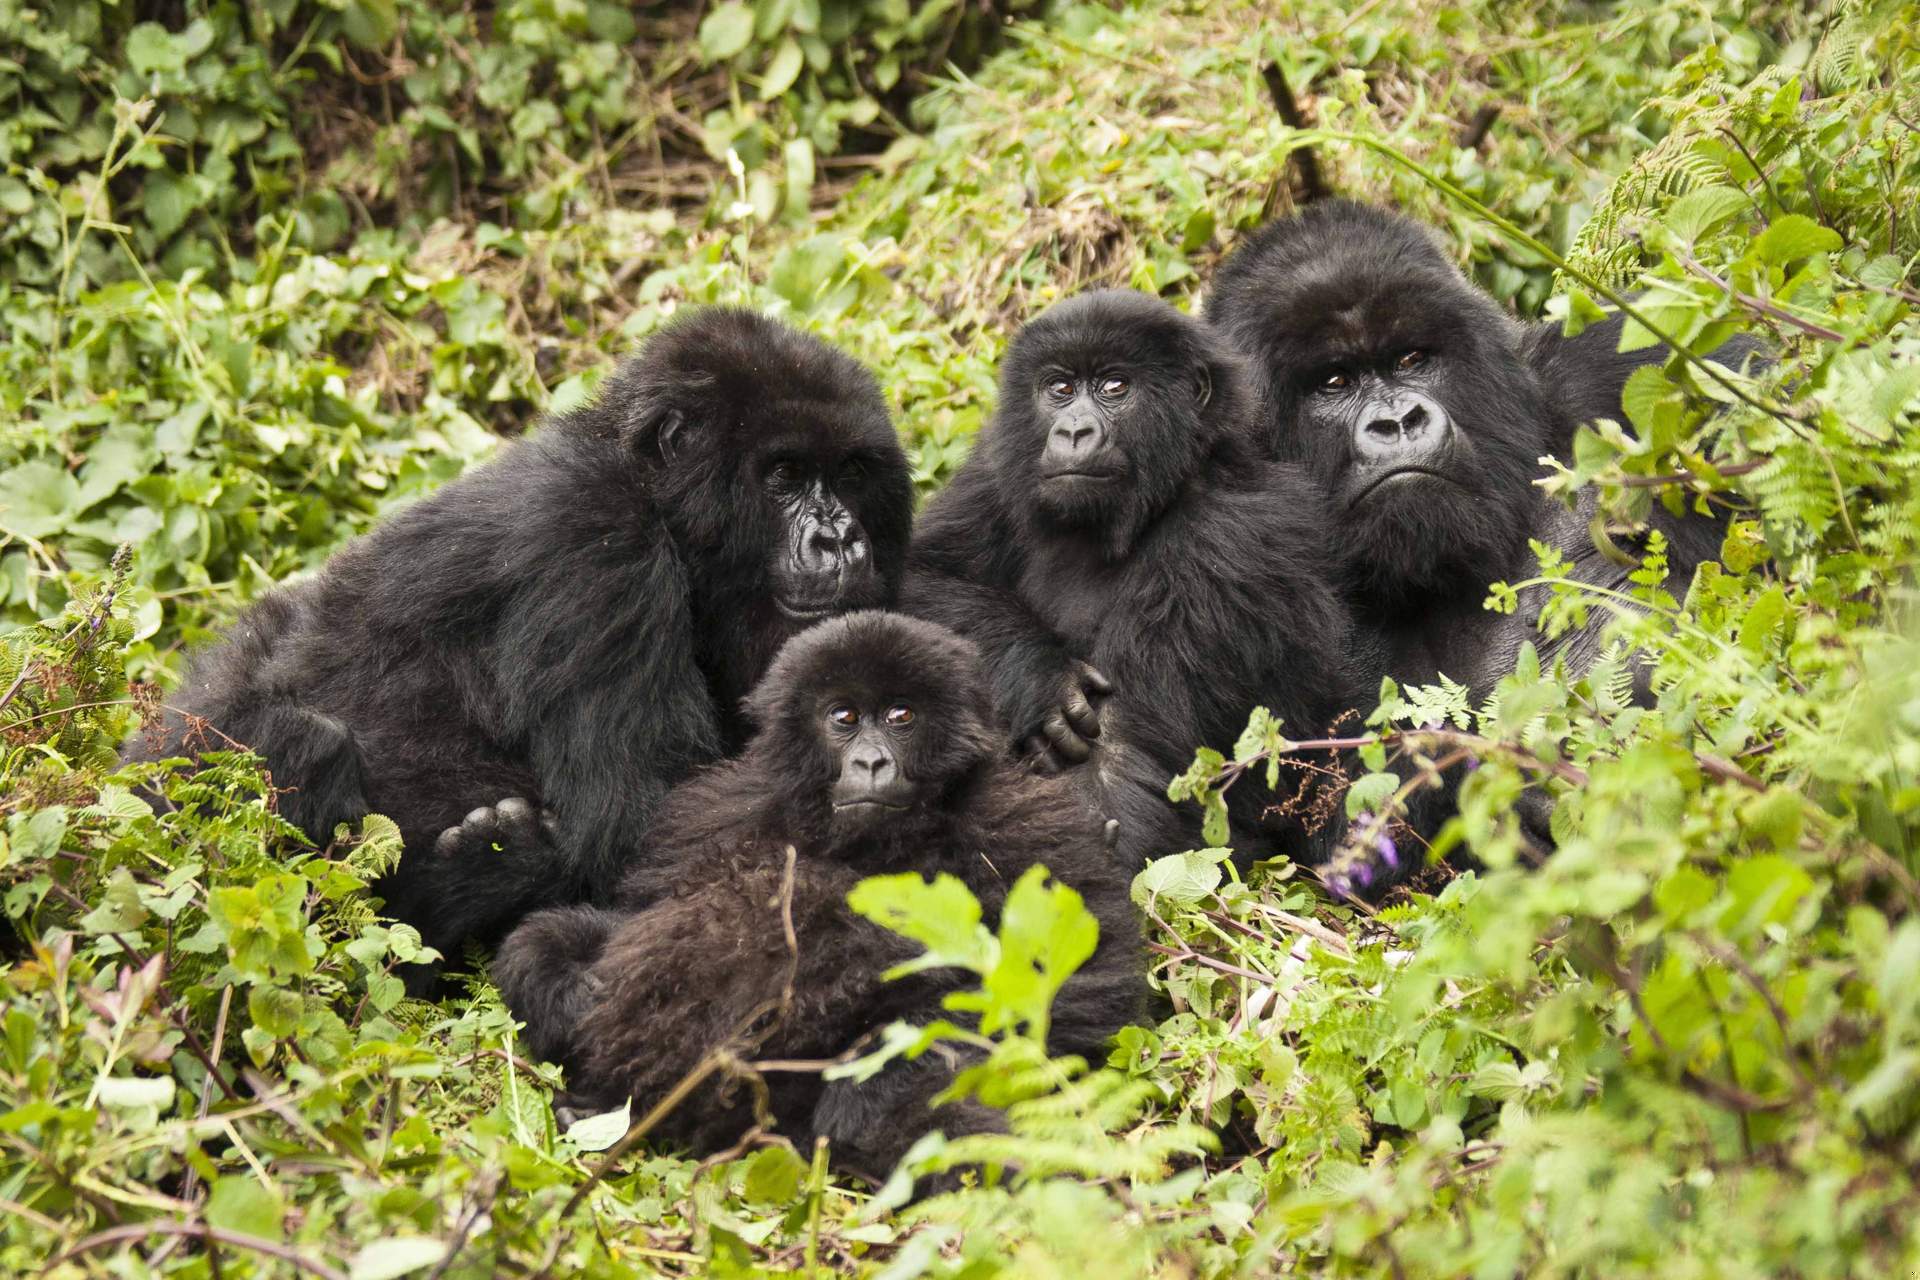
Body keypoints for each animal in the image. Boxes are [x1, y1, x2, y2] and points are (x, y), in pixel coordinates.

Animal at [133, 310, 913, 971]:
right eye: (785, 475)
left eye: (850, 474)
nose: (839, 538)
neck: (651, 493)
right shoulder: (594, 545)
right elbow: (635, 822)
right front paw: (490, 865)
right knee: (304, 740)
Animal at [499, 614, 1152, 1182]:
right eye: (843, 716)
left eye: (900, 715)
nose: (870, 760)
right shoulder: (714, 814)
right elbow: (632, 920)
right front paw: (565, 984)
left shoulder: (1024, 823)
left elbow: (1083, 977)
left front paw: (879, 1087)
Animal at [902, 293, 1367, 859]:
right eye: (1060, 389)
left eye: (1114, 387)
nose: (1073, 431)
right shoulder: (996, 472)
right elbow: (922, 578)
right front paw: (1038, 674)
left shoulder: (1229, 536)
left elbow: (1121, 759)